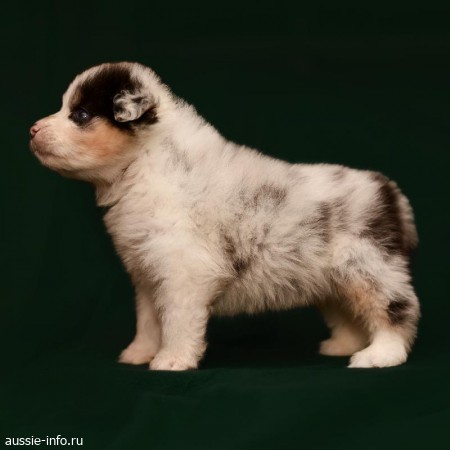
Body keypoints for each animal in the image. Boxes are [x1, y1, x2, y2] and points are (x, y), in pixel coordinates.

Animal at [29, 62, 420, 370]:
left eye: (80, 115)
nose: (32, 130)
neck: (144, 163)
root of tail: (387, 189)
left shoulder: (184, 273)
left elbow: (176, 321)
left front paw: (171, 360)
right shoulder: (147, 272)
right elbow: (149, 321)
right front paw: (138, 354)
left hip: (369, 267)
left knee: (397, 309)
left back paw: (378, 356)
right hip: (332, 279)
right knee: (350, 315)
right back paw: (341, 347)